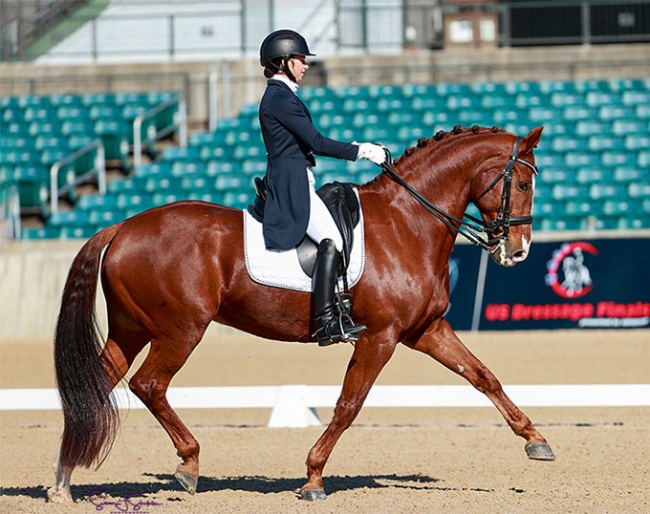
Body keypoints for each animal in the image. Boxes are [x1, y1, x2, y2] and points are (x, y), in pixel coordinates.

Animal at [46, 124, 552, 500]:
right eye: (523, 183)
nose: (520, 251)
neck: (407, 222)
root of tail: (122, 227)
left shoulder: (425, 329)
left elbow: (483, 376)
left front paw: (536, 441)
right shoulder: (381, 335)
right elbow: (349, 404)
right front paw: (312, 477)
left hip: (132, 328)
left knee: (97, 384)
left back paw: (63, 479)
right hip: (180, 330)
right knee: (149, 385)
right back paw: (188, 464)